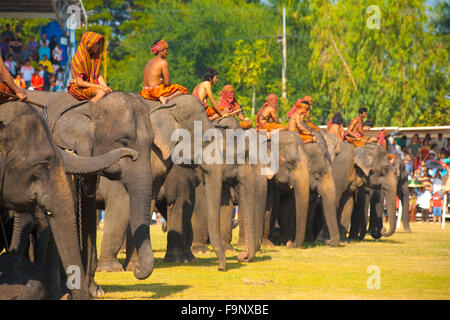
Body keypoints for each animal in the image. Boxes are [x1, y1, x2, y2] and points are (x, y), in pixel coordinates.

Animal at [25, 89, 155, 296]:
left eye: (152, 143)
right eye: (124, 141)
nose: (136, 270)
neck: (90, 107)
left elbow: (88, 213)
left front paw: (95, 290)